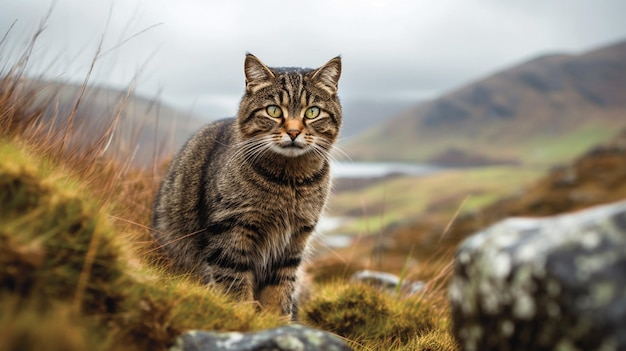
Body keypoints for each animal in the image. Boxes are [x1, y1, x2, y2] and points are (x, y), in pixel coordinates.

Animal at [151, 53, 342, 320]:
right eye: (273, 110)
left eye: (312, 112)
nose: (294, 132)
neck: (289, 182)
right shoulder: (232, 231)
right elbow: (235, 284)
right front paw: (244, 316)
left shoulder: (293, 243)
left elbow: (280, 291)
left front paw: (277, 320)